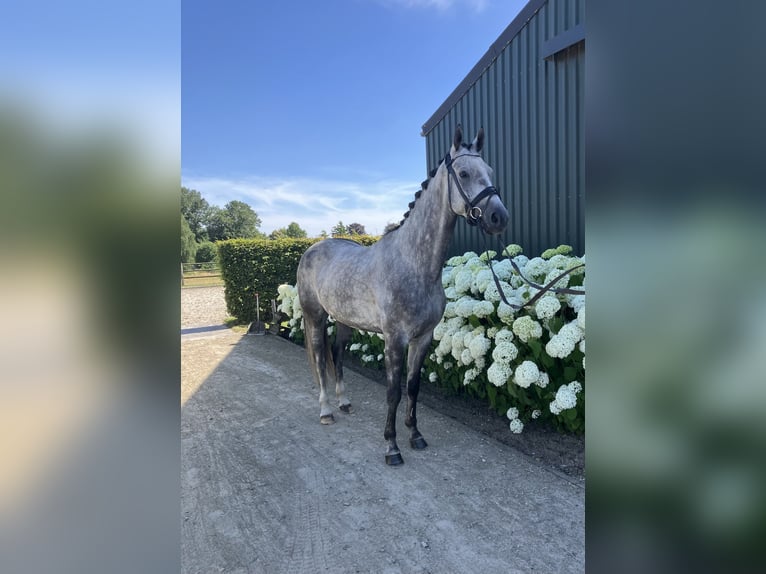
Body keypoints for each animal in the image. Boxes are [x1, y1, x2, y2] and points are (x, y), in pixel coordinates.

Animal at [296, 127, 508, 468]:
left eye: (489, 170)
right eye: (464, 173)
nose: (498, 217)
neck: (414, 263)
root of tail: (313, 249)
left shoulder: (423, 338)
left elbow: (412, 387)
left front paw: (415, 435)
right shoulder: (395, 340)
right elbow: (393, 392)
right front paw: (391, 446)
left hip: (344, 320)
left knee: (337, 355)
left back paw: (344, 402)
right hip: (315, 316)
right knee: (319, 356)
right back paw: (326, 410)